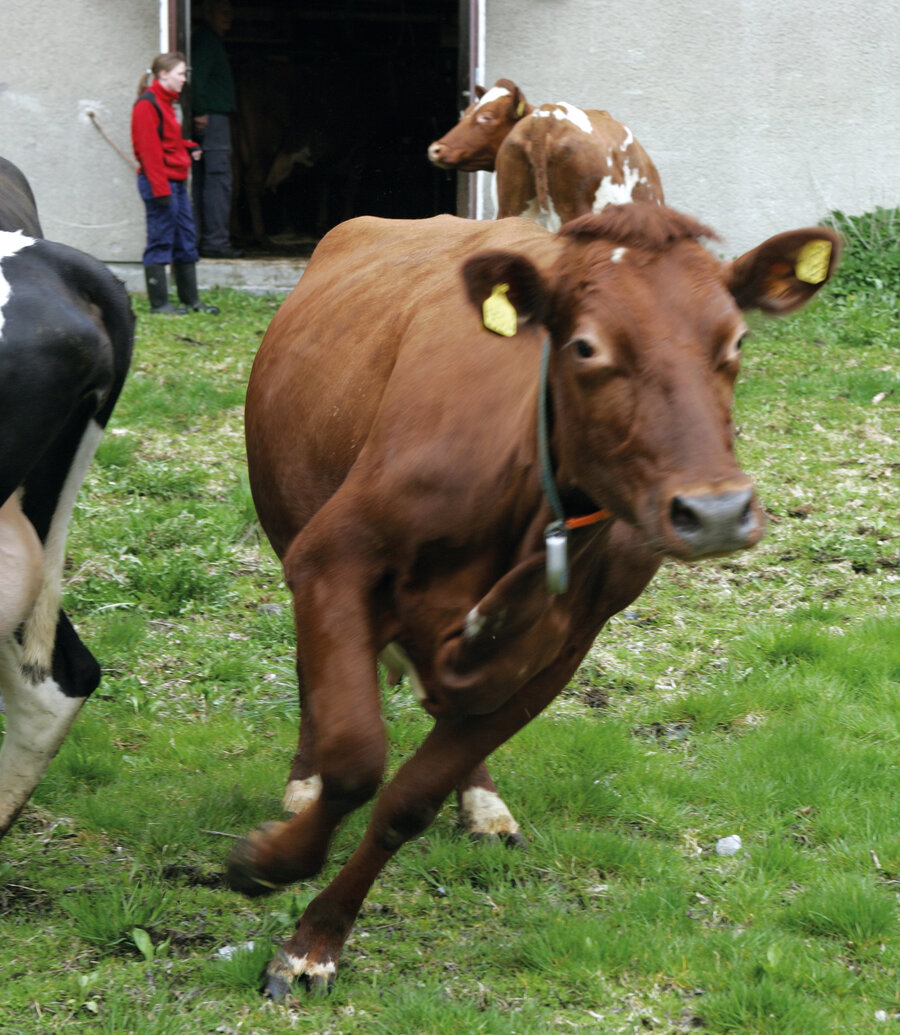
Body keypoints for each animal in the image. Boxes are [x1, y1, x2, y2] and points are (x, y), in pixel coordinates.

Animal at [235, 199, 844, 993]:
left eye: (736, 338)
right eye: (585, 346)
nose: (715, 511)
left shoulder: (563, 645)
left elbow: (409, 798)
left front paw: (318, 936)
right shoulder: (331, 558)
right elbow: (355, 758)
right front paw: (273, 864)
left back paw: (482, 803)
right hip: (290, 529)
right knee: (316, 681)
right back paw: (301, 787)